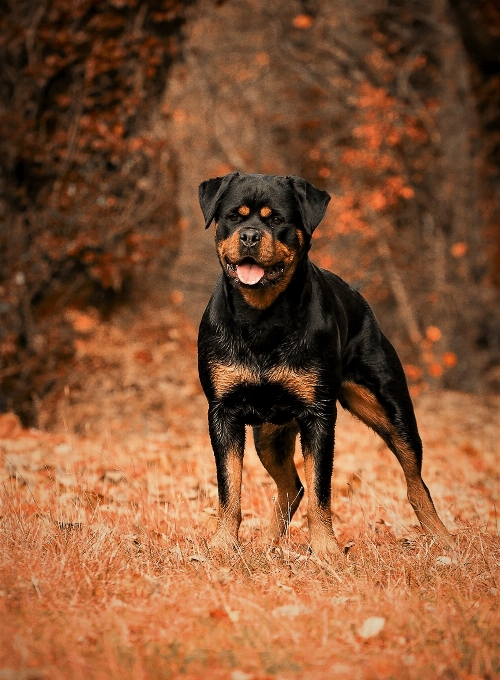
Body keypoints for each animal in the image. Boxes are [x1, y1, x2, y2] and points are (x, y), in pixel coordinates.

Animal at [196, 170, 454, 556]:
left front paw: (326, 551)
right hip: (268, 433)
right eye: (234, 217)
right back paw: (269, 544)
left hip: (391, 409)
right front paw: (223, 545)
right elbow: (230, 487)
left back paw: (442, 537)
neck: (262, 318)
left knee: (415, 480)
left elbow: (321, 488)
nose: (250, 235)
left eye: (277, 220)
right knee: (292, 486)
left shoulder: (318, 414)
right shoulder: (223, 411)